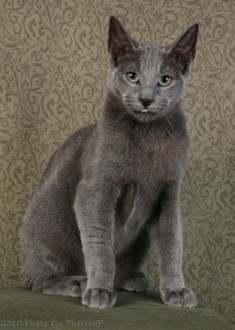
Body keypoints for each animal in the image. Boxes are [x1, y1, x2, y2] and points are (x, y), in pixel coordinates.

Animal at [20, 15, 198, 310]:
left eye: (165, 80)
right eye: (132, 76)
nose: (146, 99)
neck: (147, 139)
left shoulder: (170, 192)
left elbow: (173, 242)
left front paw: (176, 290)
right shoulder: (96, 188)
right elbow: (100, 242)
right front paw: (99, 290)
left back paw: (130, 278)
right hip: (48, 218)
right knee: (36, 280)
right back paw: (76, 282)